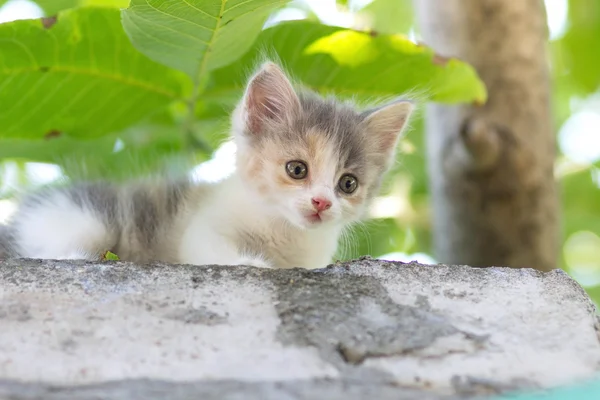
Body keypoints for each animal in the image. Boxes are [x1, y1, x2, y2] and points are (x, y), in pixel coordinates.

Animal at [0, 62, 412, 268]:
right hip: (80, 216)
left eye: (348, 184)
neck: (284, 233)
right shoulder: (202, 228)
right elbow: (210, 250)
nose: (322, 202)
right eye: (297, 169)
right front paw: (253, 264)